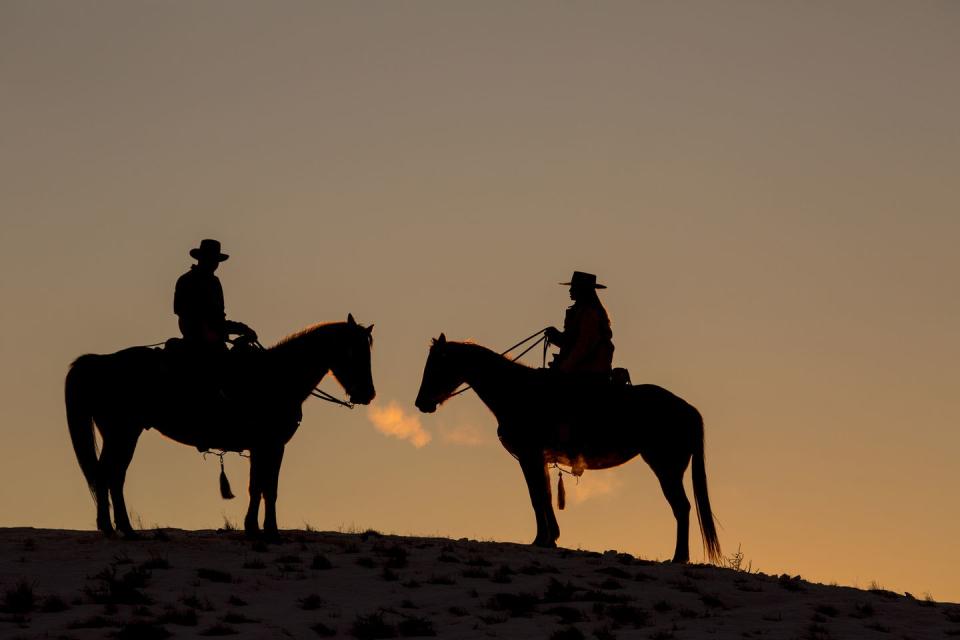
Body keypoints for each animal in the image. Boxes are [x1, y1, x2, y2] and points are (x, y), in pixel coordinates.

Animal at [66, 318, 376, 536]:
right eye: (355, 352)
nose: (368, 394)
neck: (277, 377)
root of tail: (100, 361)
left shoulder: (261, 447)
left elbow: (258, 486)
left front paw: (254, 528)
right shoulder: (272, 444)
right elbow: (268, 487)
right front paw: (270, 531)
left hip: (117, 434)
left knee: (109, 475)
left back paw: (114, 527)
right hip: (123, 433)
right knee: (110, 475)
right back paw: (121, 529)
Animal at [412, 338, 720, 564]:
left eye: (437, 364)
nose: (421, 403)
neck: (517, 392)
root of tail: (688, 409)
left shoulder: (529, 455)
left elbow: (537, 496)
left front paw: (542, 539)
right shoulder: (537, 458)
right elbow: (544, 495)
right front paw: (550, 538)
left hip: (666, 468)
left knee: (681, 507)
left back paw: (678, 558)